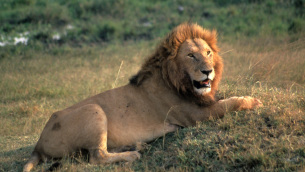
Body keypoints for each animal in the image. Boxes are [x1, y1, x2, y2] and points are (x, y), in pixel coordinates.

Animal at [23, 22, 262, 171]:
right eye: (190, 56)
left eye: (208, 53)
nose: (207, 71)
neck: (177, 80)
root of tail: (38, 145)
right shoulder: (196, 115)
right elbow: (230, 103)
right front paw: (253, 101)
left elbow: (225, 97)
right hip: (93, 110)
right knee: (96, 157)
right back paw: (132, 155)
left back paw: (136, 146)